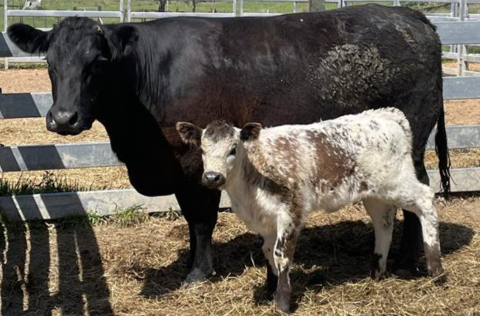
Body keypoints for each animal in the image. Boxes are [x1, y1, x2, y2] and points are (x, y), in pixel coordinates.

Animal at [7, 4, 450, 286]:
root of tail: (412, 17)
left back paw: (410, 261)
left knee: (420, 194)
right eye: (50, 62)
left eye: (98, 62)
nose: (63, 118)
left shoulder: (194, 163)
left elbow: (201, 220)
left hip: (409, 145)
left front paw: (198, 273)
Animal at [176, 109, 442, 314]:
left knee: (425, 200)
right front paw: (271, 290)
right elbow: (268, 251)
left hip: (398, 183)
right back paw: (376, 271)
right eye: (202, 150)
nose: (212, 177)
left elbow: (282, 254)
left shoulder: (291, 212)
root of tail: (385, 115)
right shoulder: (266, 219)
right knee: (383, 222)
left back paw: (436, 268)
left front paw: (283, 301)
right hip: (375, 193)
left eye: (233, 149)